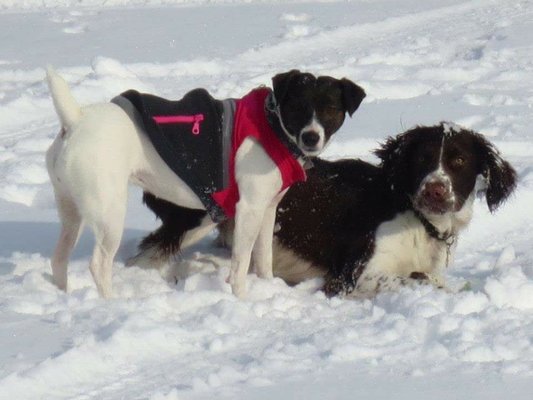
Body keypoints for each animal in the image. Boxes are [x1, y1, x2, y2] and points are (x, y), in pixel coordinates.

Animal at [45, 67, 366, 296]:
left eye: (331, 109)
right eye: (297, 107)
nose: (311, 137)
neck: (272, 126)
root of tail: (75, 122)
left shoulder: (268, 209)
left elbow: (263, 257)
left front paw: (267, 287)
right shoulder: (249, 209)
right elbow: (241, 262)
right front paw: (241, 298)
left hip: (71, 212)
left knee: (59, 258)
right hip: (109, 214)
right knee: (99, 265)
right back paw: (111, 303)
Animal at [137, 122, 516, 296]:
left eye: (459, 161)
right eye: (421, 159)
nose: (435, 190)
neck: (418, 218)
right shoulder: (354, 274)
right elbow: (422, 280)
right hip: (196, 218)